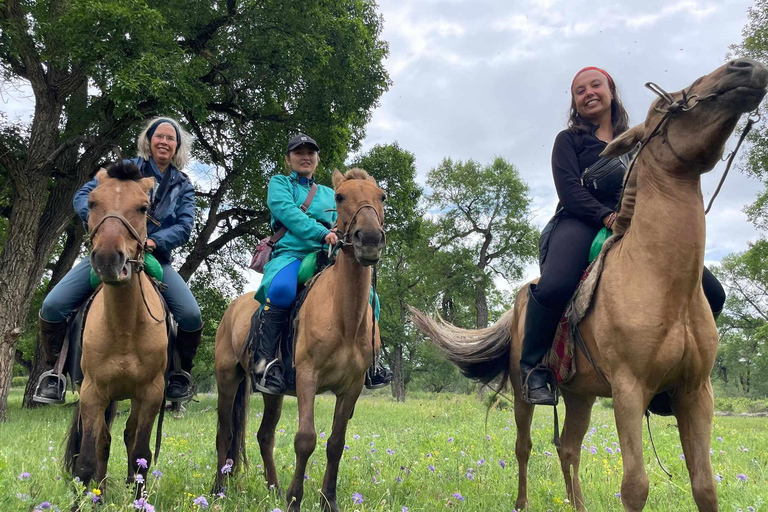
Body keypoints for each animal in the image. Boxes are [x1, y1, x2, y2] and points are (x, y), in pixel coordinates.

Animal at [63, 163, 167, 496]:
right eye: (92, 202)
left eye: (144, 207)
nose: (109, 260)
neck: (124, 328)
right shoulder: (92, 392)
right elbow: (87, 458)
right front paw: (84, 499)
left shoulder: (151, 393)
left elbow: (140, 452)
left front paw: (139, 500)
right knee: (104, 443)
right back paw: (99, 493)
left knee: (128, 438)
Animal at [214, 169, 384, 512]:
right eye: (340, 197)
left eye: (382, 196)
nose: (370, 240)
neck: (344, 316)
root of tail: (232, 308)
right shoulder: (307, 377)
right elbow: (305, 439)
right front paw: (295, 499)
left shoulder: (352, 386)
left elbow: (336, 443)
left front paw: (328, 500)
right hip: (227, 379)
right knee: (225, 433)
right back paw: (219, 491)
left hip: (272, 393)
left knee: (265, 435)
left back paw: (274, 490)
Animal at [414, 57, 768, 512]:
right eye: (662, 104)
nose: (746, 67)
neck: (657, 280)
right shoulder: (629, 390)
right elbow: (635, 486)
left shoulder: (696, 393)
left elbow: (705, 487)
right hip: (525, 392)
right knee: (524, 447)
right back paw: (522, 502)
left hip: (579, 393)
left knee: (569, 448)